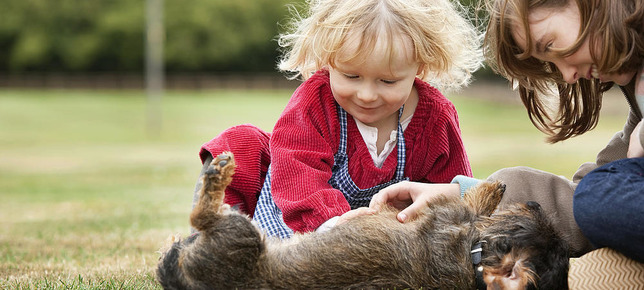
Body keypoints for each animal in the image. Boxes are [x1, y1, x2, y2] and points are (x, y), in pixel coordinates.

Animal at [156, 153, 568, 288]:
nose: (534, 200)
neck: (471, 256)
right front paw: (495, 189)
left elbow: (472, 203)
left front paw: (489, 189)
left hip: (240, 235)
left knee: (202, 213)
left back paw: (216, 172)